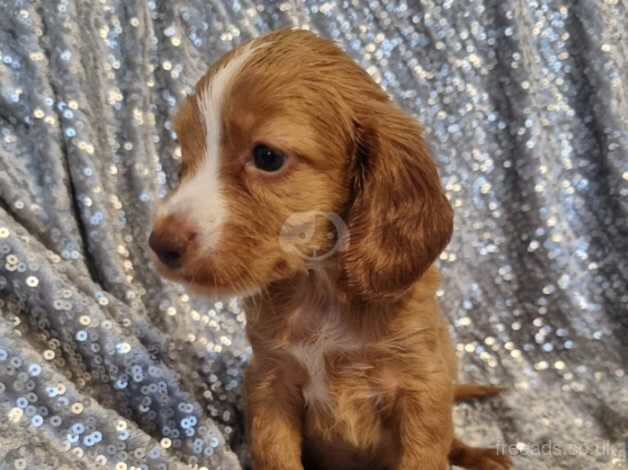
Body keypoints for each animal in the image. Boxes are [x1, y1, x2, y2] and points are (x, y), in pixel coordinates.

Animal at [151, 28, 510, 470]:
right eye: (184, 159)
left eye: (267, 156)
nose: (159, 244)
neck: (322, 288)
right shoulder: (270, 380)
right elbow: (276, 455)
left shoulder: (422, 388)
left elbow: (427, 452)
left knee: (452, 440)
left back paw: (480, 454)